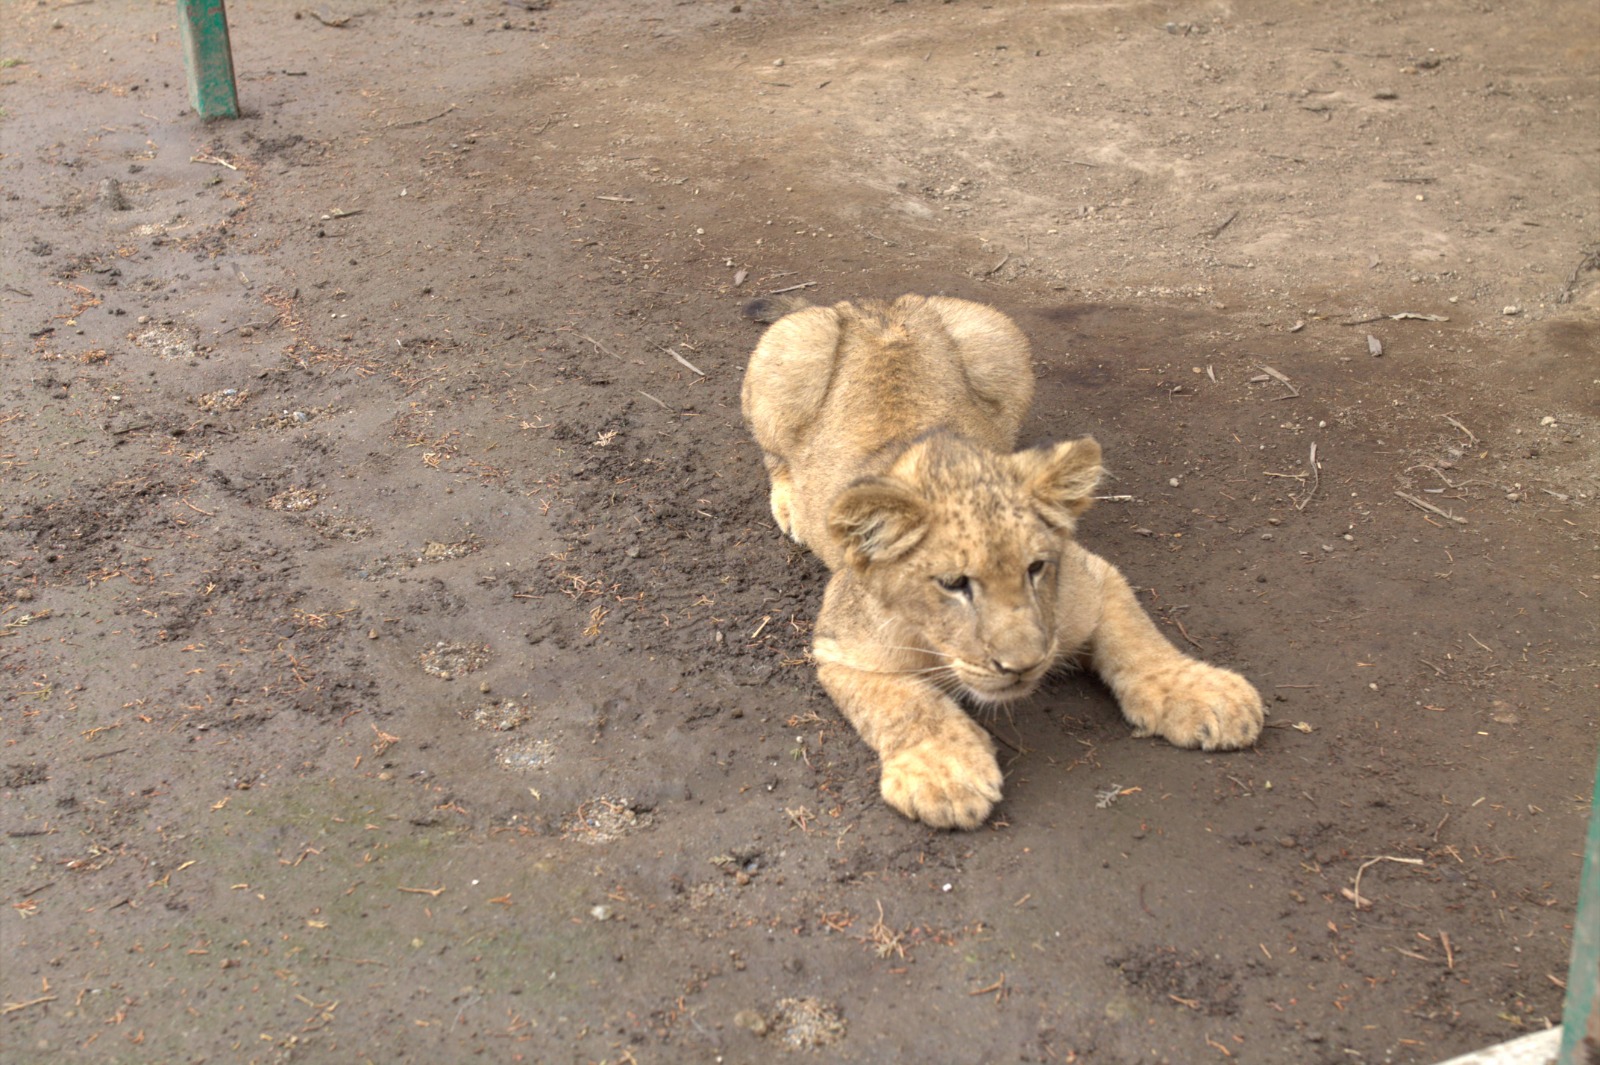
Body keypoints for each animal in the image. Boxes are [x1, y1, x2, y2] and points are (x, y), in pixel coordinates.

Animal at [741, 293, 1264, 830]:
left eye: (1036, 569)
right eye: (953, 583)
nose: (1024, 666)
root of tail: (877, 305)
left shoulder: (1095, 580)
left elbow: (1140, 642)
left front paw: (1205, 694)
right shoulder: (843, 648)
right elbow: (908, 704)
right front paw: (944, 771)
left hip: (993, 334)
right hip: (789, 346)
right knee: (775, 457)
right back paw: (791, 505)